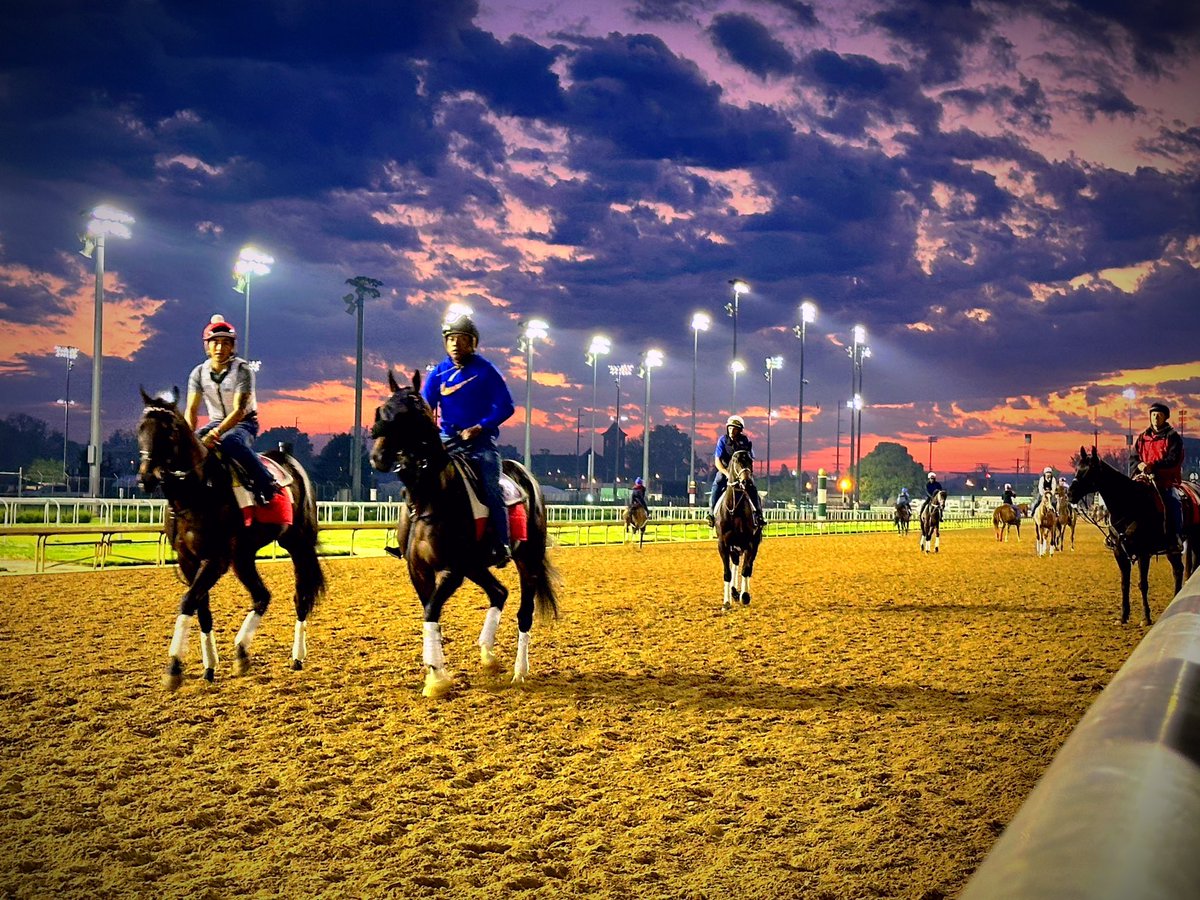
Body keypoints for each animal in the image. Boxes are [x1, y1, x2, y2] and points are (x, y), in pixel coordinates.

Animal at [136, 388, 326, 691]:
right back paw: (242, 650)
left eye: (169, 431)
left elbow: (188, 601)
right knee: (262, 595)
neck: (197, 492)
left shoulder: (217, 559)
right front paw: (209, 666)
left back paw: (296, 656)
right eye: (140, 429)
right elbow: (201, 607)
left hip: (298, 544)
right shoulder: (188, 559)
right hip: (243, 556)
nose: (146, 477)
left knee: (301, 596)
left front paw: (174, 665)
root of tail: (288, 459)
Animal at [367, 369, 559, 700]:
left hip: (527, 559)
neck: (433, 498)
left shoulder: (453, 570)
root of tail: (527, 476)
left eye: (411, 414)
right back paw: (488, 654)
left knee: (525, 612)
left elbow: (431, 610)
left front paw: (436, 678)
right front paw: (437, 672)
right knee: (499, 592)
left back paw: (519, 671)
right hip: (476, 564)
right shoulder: (419, 570)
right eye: (383, 409)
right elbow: (430, 612)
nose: (379, 456)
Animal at [710, 451, 758, 614]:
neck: (734, 509)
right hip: (734, 547)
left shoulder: (750, 543)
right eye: (736, 461)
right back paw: (734, 592)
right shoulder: (723, 545)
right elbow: (728, 573)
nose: (746, 482)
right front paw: (726, 602)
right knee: (736, 564)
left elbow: (746, 569)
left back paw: (741, 593)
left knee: (747, 566)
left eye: (750, 461)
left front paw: (745, 596)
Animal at [1075, 446, 1195, 628]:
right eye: (1077, 468)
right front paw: (1123, 616)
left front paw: (1146, 617)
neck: (1131, 505)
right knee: (1178, 570)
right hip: (1172, 549)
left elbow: (1142, 584)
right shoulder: (1119, 552)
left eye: (1090, 470)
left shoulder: (1143, 553)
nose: (1070, 494)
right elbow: (1124, 584)